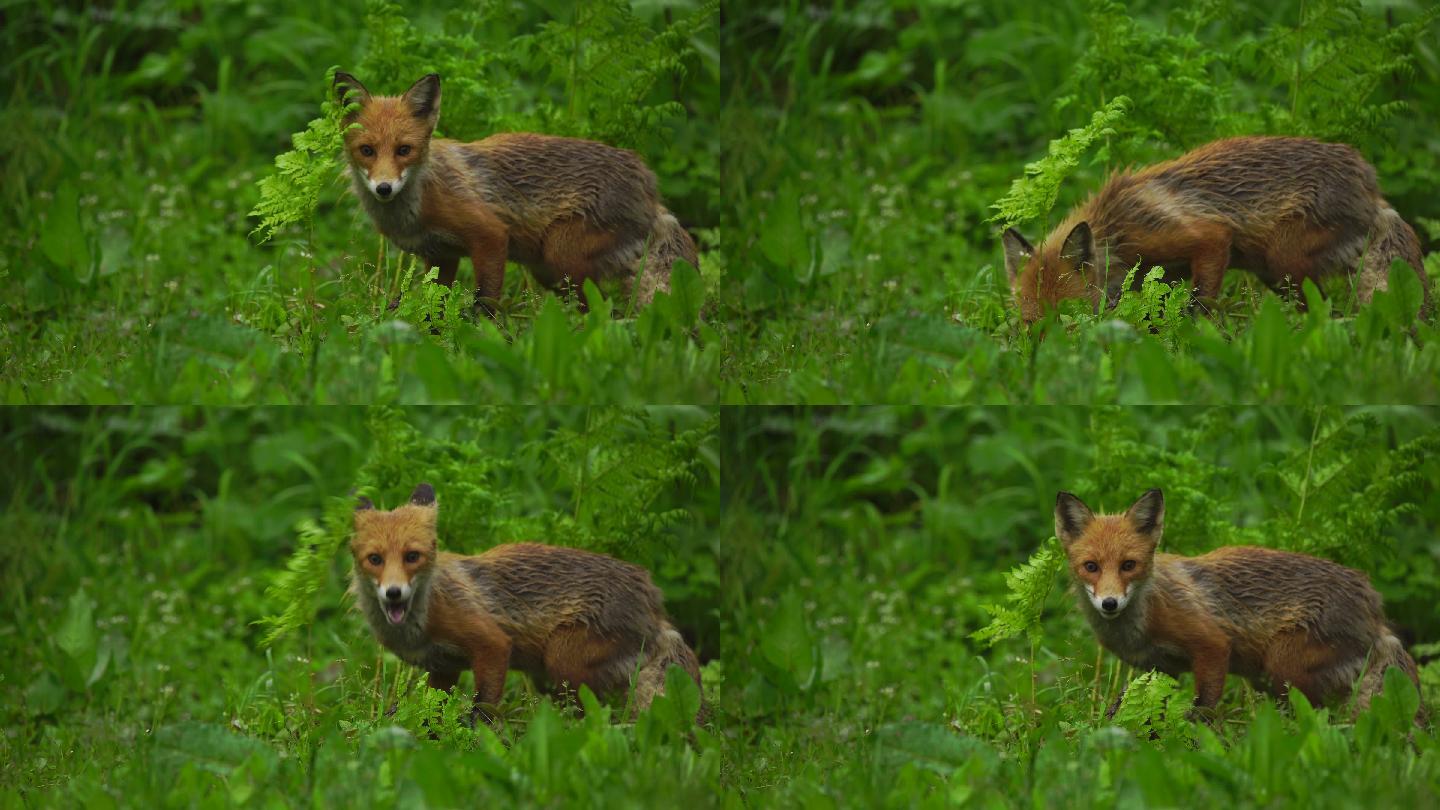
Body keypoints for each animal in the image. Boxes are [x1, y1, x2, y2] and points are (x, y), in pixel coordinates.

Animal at [336, 70, 696, 309]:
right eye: (367, 151)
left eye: (404, 150)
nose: (384, 188)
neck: (419, 202)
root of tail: (651, 189)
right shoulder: (441, 256)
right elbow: (434, 305)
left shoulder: (490, 235)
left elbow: (485, 304)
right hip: (549, 272)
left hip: (560, 256)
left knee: (603, 311)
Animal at [354, 481, 702, 714]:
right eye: (375, 559)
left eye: (412, 556)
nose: (394, 592)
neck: (420, 622)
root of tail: (653, 600)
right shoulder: (442, 667)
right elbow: (434, 712)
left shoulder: (491, 643)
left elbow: (482, 709)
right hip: (548, 677)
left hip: (562, 660)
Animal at [1008, 135, 1434, 321]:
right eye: (1029, 324)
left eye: (1067, 317)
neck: (1117, 229)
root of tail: (1373, 191)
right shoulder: (1162, 275)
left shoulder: (1207, 238)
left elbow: (1199, 303)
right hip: (1273, 273)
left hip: (1283, 261)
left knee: (1322, 310)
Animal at [1054, 484, 1422, 711]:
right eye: (1091, 567)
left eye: (1128, 565)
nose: (1110, 603)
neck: (1142, 620)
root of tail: (1374, 606)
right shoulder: (1158, 668)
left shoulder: (1212, 644)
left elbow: (1202, 709)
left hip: (1281, 665)